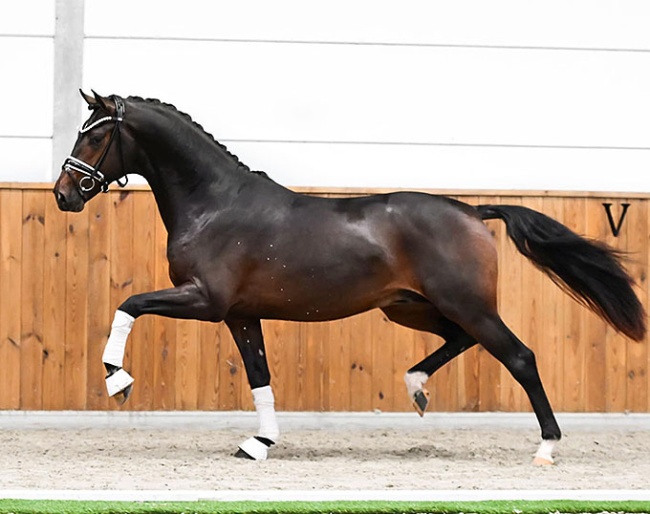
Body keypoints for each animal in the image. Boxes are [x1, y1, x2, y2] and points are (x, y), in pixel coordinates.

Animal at [54, 90, 646, 464]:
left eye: (96, 137)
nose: (63, 194)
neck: (215, 204)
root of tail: (472, 212)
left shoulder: (206, 300)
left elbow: (129, 304)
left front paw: (118, 381)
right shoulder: (241, 314)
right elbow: (259, 376)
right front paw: (259, 444)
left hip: (465, 305)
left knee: (519, 356)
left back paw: (546, 448)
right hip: (411, 307)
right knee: (460, 341)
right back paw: (416, 387)